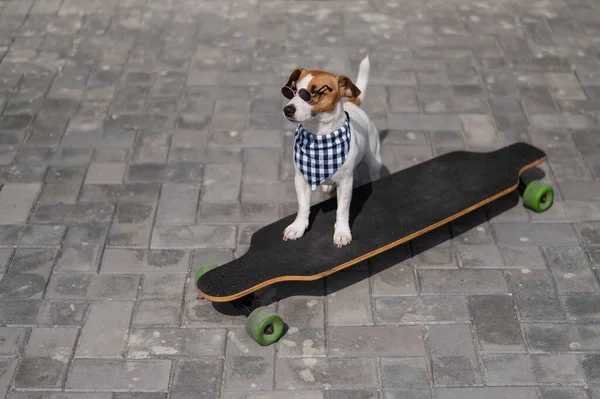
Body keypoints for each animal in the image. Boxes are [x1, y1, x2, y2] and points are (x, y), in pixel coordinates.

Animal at [280, 54, 380, 248]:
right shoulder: (301, 179)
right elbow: (303, 207)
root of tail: (353, 103)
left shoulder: (346, 184)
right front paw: (298, 227)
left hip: (374, 158)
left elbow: (342, 210)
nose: (287, 109)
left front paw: (341, 232)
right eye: (292, 90)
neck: (318, 137)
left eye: (314, 93)